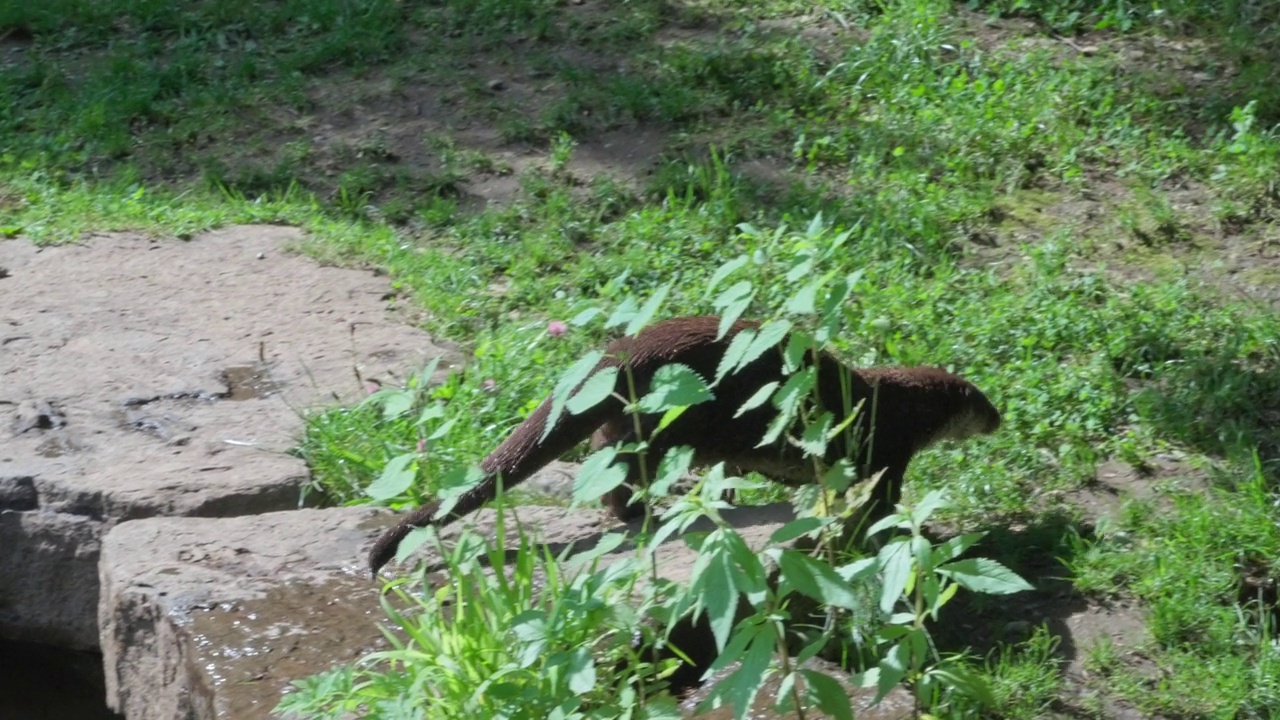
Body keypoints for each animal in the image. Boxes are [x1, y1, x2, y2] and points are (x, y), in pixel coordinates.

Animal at [371, 316, 998, 573]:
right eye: (985, 403)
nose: (998, 419)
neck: (897, 401)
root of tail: (619, 353)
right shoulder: (892, 448)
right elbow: (884, 501)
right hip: (660, 427)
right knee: (621, 490)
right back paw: (664, 506)